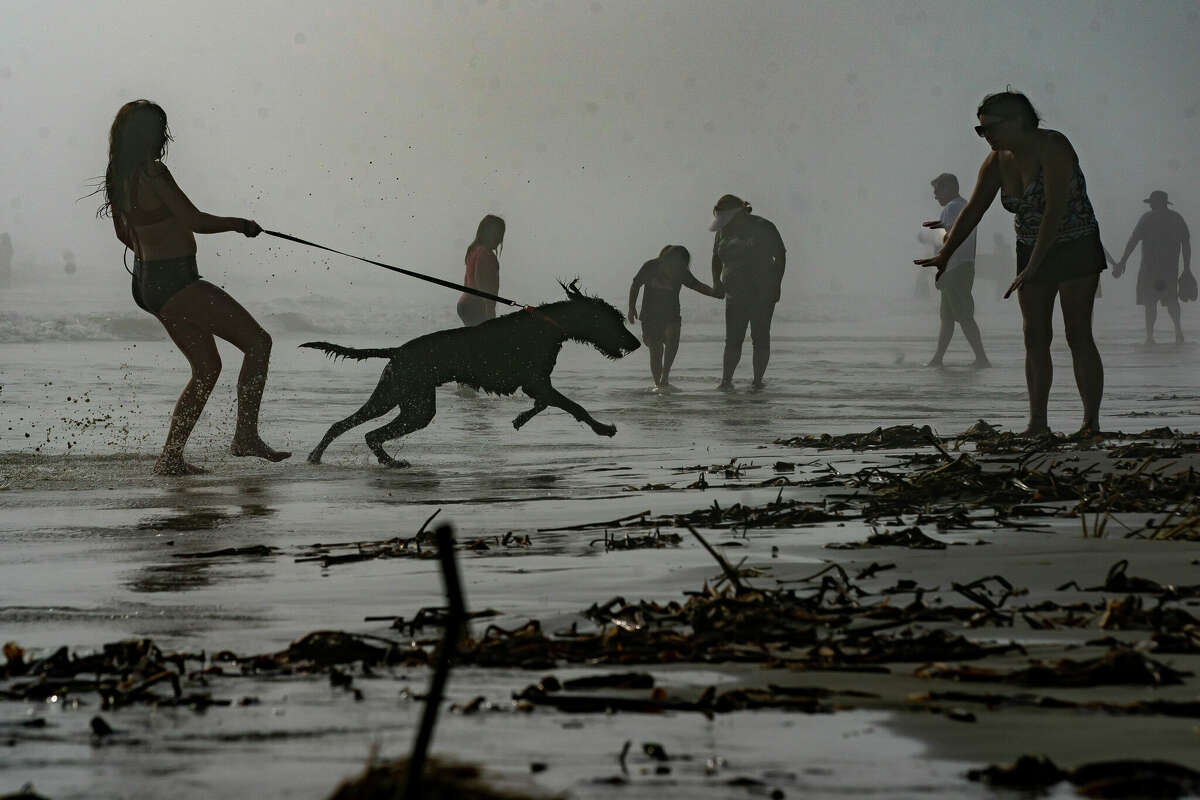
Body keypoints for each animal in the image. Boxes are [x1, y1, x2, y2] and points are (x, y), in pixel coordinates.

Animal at [298, 283, 643, 465]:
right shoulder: (537, 382)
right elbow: (574, 406)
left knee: (358, 429)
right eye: (615, 319)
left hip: (407, 400)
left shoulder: (536, 384)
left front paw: (520, 419)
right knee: (359, 429)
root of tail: (396, 351)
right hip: (402, 397)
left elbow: (544, 403)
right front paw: (603, 429)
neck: (549, 326)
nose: (637, 343)